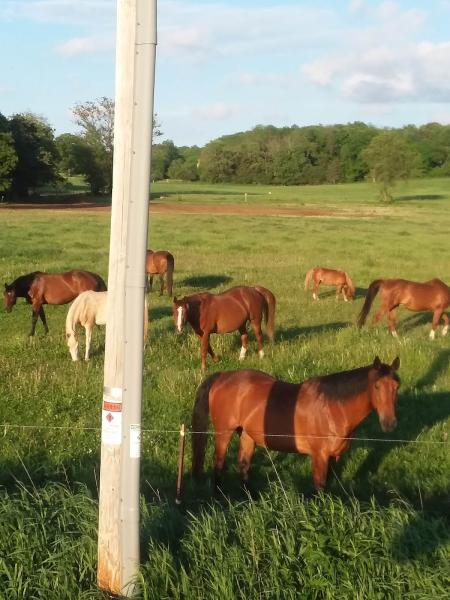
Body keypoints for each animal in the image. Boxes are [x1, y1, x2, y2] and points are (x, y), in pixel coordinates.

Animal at [192, 356, 400, 488]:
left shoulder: (333, 456)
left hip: (247, 435)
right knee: (218, 464)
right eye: (377, 386)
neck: (333, 408)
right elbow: (320, 487)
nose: (389, 423)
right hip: (224, 433)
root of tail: (223, 376)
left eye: (397, 386)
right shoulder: (320, 456)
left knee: (243, 466)